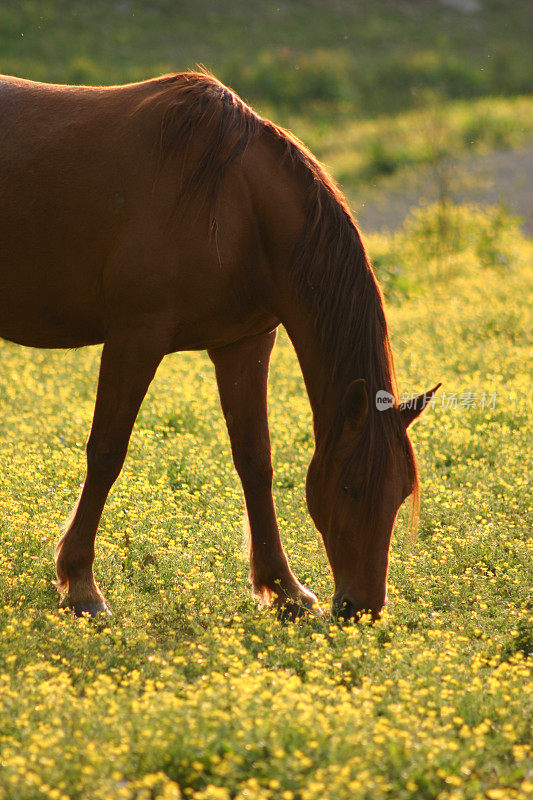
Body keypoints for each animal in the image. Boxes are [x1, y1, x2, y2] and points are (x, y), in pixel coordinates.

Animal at [0, 70, 438, 620]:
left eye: (400, 494)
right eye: (349, 487)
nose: (362, 608)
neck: (234, 203)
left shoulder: (244, 345)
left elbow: (255, 461)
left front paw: (284, 587)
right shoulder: (135, 337)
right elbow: (106, 453)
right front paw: (81, 585)